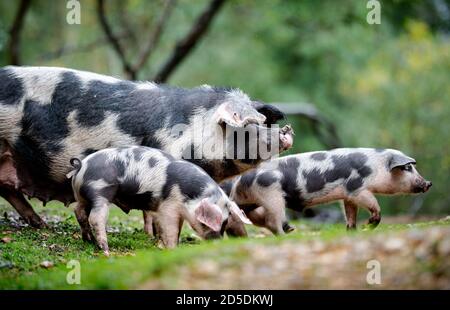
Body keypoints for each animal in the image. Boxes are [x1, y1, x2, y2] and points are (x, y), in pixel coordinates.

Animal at [67, 145, 251, 254]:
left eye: (226, 222)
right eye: (208, 223)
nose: (216, 243)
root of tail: (81, 165)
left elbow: (176, 229)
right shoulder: (168, 206)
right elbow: (170, 228)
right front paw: (171, 249)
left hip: (83, 196)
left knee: (78, 211)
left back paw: (88, 240)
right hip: (100, 191)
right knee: (95, 217)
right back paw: (105, 250)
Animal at [223, 148, 430, 235]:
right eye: (407, 168)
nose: (428, 183)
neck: (376, 167)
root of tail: (239, 180)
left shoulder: (347, 195)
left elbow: (350, 212)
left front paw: (352, 230)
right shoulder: (357, 187)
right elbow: (373, 204)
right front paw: (369, 225)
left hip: (251, 205)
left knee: (262, 221)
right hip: (270, 193)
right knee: (275, 219)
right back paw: (289, 230)